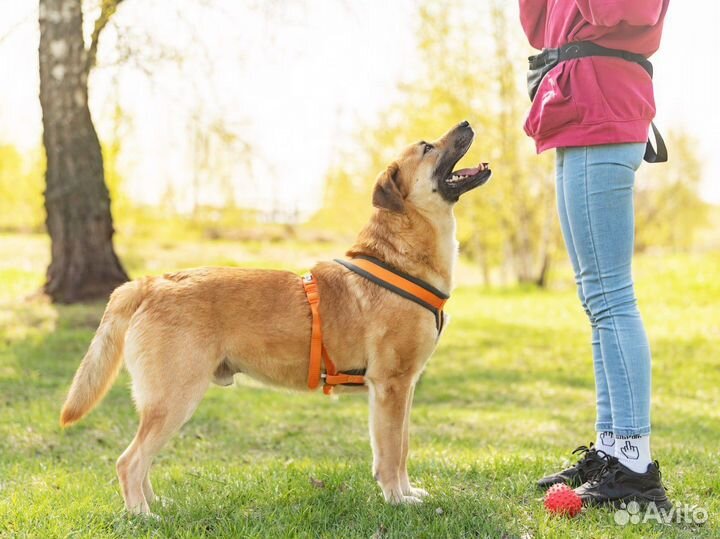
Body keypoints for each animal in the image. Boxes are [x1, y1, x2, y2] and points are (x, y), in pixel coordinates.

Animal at [60, 121, 490, 516]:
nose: (467, 122)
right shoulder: (391, 387)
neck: (398, 258)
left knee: (141, 460)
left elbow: (401, 448)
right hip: (175, 398)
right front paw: (398, 500)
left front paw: (407, 492)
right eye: (427, 147)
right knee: (129, 461)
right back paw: (143, 516)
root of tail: (151, 283)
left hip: (166, 402)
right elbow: (390, 453)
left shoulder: (403, 388)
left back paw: (155, 503)